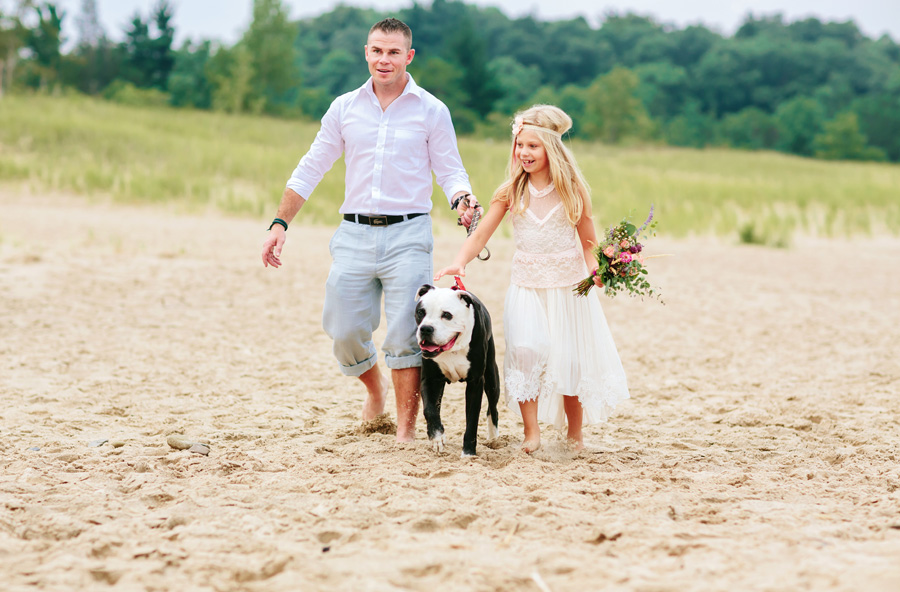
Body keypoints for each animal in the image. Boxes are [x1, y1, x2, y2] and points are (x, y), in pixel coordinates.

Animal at [414, 284, 500, 456]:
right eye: (421, 312)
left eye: (447, 315)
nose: (426, 328)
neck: (453, 348)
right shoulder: (430, 380)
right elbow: (429, 410)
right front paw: (437, 437)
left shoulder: (475, 383)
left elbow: (472, 419)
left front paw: (468, 453)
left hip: (492, 377)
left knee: (493, 408)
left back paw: (493, 438)